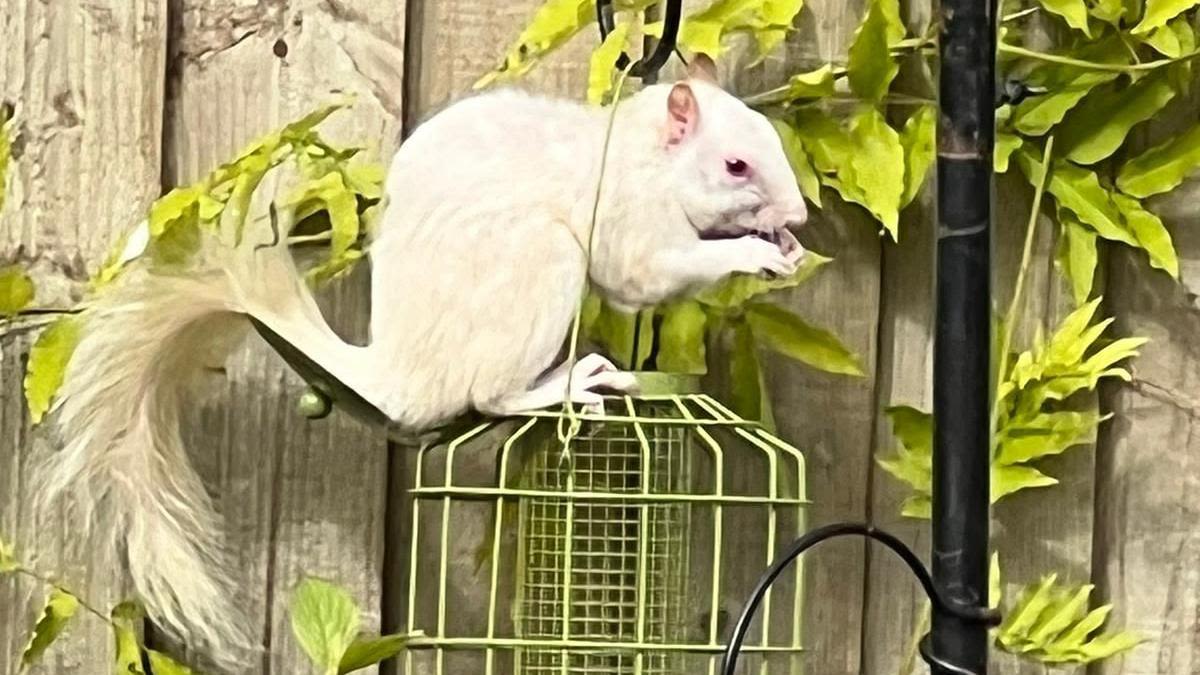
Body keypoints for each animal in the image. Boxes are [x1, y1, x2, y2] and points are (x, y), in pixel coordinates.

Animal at [39, 55, 806, 662]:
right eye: (736, 164)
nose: (797, 216)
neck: (645, 157)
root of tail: (397, 378)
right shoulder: (626, 219)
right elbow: (643, 274)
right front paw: (755, 253)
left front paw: (783, 246)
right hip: (540, 265)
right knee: (490, 395)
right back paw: (567, 381)